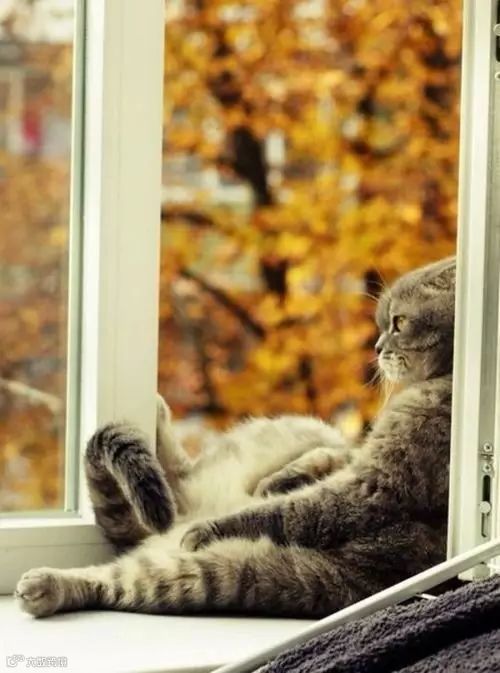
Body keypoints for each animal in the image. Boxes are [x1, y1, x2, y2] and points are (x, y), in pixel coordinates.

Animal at [15, 256, 455, 619]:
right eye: (385, 325)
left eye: (399, 323)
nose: (377, 347)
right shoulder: (349, 453)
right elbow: (323, 463)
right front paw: (282, 479)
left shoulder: (373, 484)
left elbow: (293, 509)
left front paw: (222, 523)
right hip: (296, 427)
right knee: (177, 473)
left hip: (216, 575)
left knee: (114, 581)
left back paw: (45, 587)